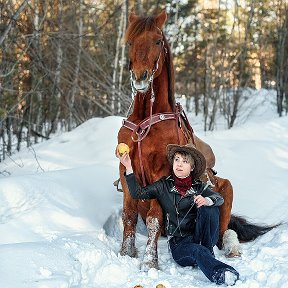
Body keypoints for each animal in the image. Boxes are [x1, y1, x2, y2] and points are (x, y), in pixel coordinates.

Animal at [117, 10, 276, 268]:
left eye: (157, 41)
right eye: (130, 42)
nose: (140, 78)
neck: (145, 122)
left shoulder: (161, 173)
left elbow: (154, 219)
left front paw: (150, 261)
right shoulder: (125, 172)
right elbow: (129, 216)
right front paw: (125, 253)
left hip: (227, 191)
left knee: (224, 234)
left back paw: (231, 249)